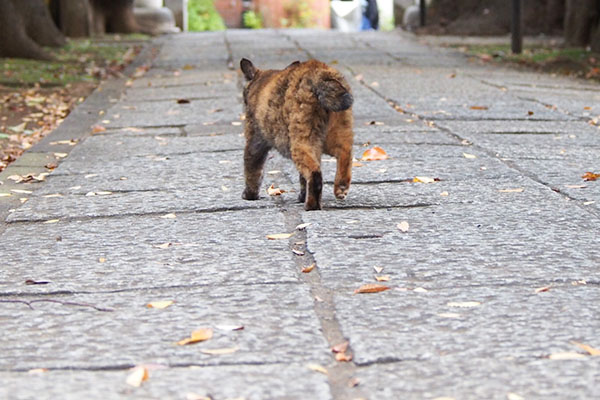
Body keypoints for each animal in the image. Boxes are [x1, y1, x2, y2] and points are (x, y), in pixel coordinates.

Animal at [239, 58, 354, 212]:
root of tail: (319, 72)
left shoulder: (255, 140)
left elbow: (252, 170)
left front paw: (249, 195)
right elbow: (302, 178)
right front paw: (302, 195)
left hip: (300, 140)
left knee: (314, 173)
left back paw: (312, 205)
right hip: (334, 133)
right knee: (345, 153)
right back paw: (340, 187)